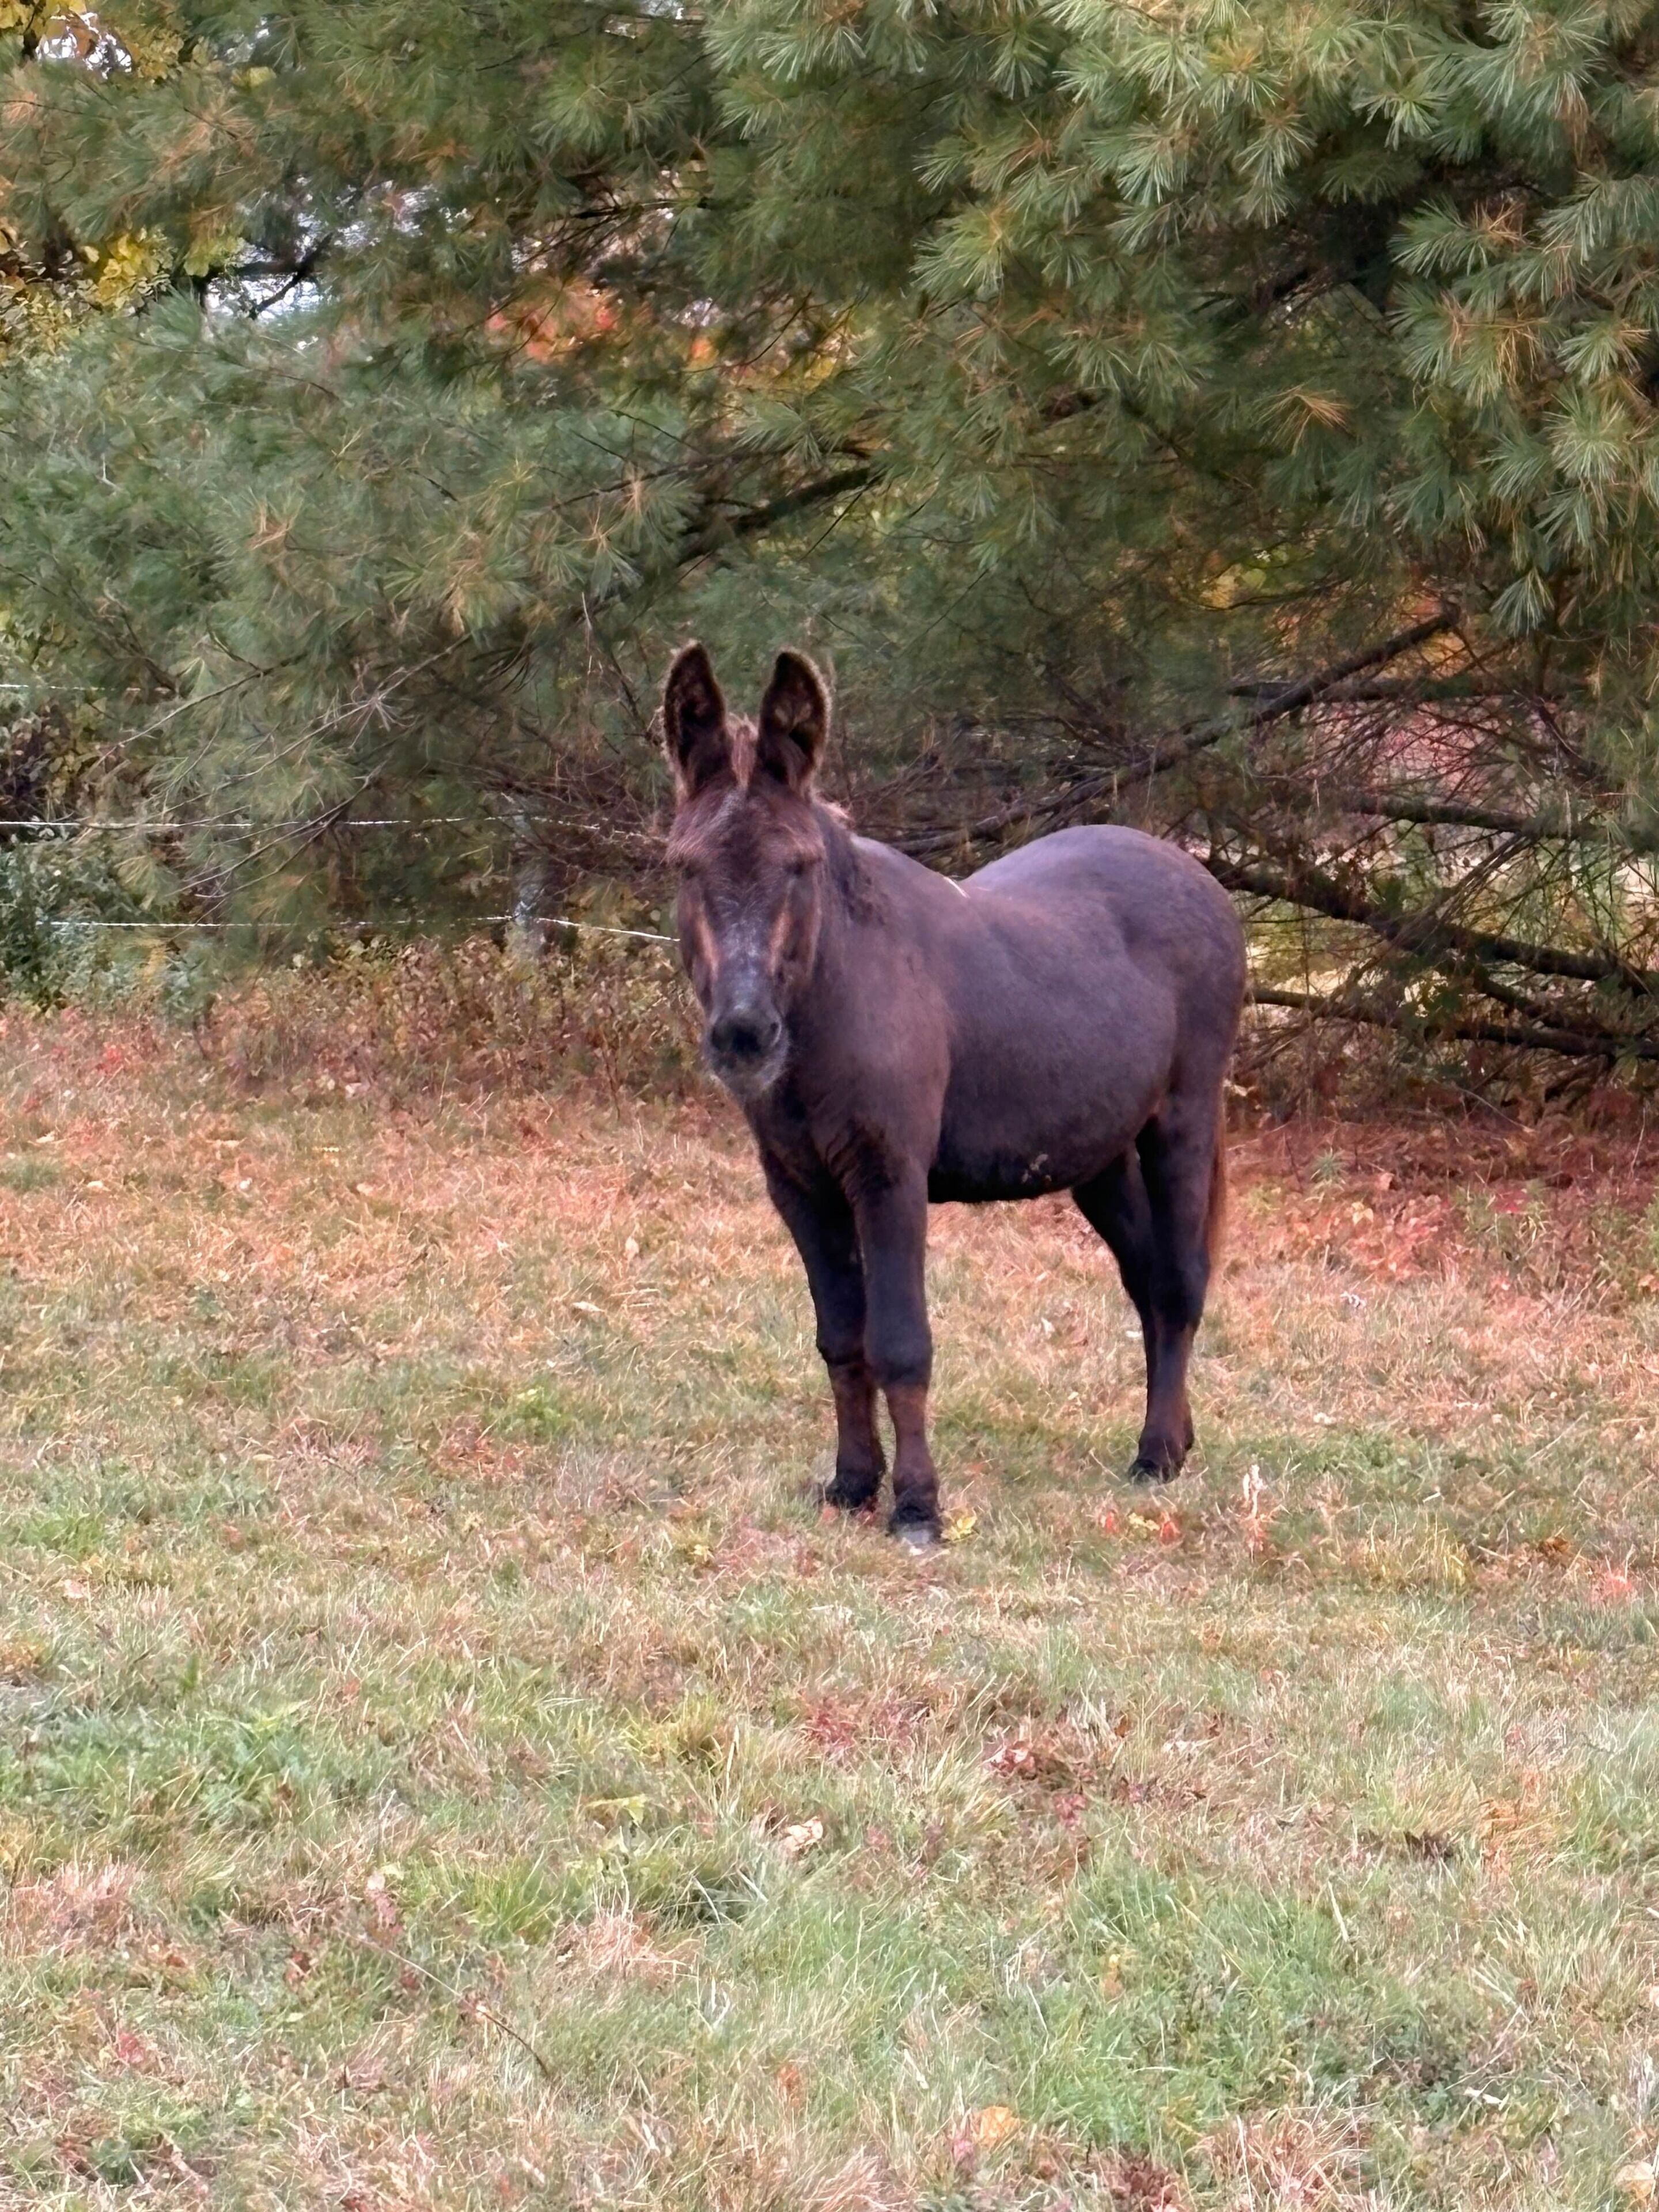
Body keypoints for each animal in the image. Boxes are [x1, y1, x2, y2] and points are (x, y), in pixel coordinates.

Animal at [662, 642, 1247, 1545]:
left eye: (799, 866)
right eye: (685, 866)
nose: (744, 1037)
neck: (840, 993)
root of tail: (1195, 872)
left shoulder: (889, 1177)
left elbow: (901, 1343)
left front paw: (916, 1506)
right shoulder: (800, 1187)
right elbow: (842, 1340)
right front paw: (852, 1483)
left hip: (1180, 1123)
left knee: (1181, 1283)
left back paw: (1155, 1457)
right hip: (1099, 1159)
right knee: (1149, 1282)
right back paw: (1176, 1441)